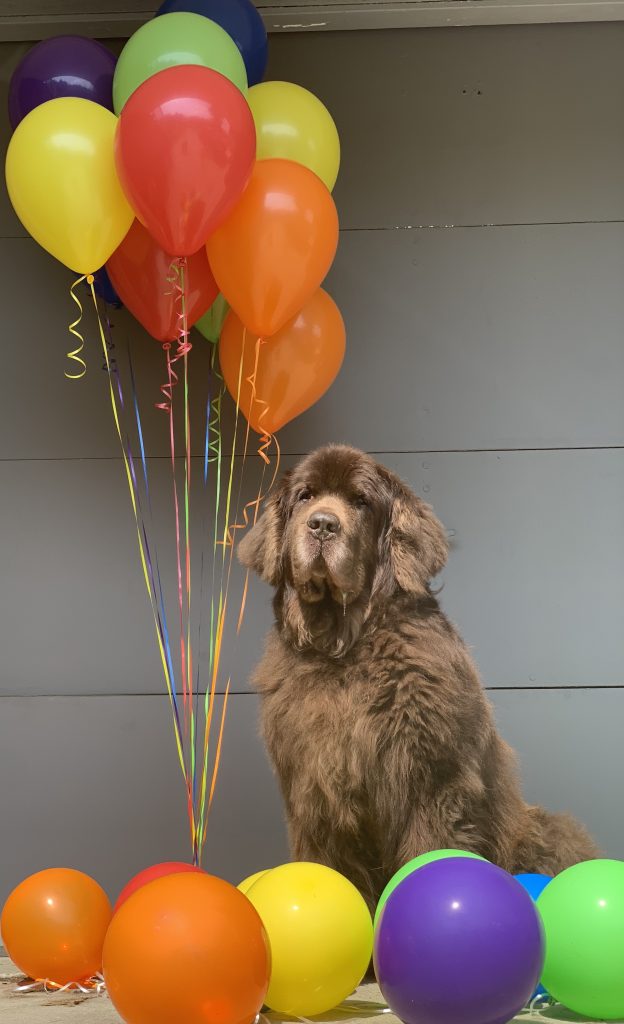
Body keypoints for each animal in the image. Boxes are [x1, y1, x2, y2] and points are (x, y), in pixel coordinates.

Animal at [237, 444, 594, 909]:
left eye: (361, 502)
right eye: (305, 496)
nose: (322, 524)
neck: (345, 651)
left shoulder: (430, 784)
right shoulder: (317, 797)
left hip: (545, 831)